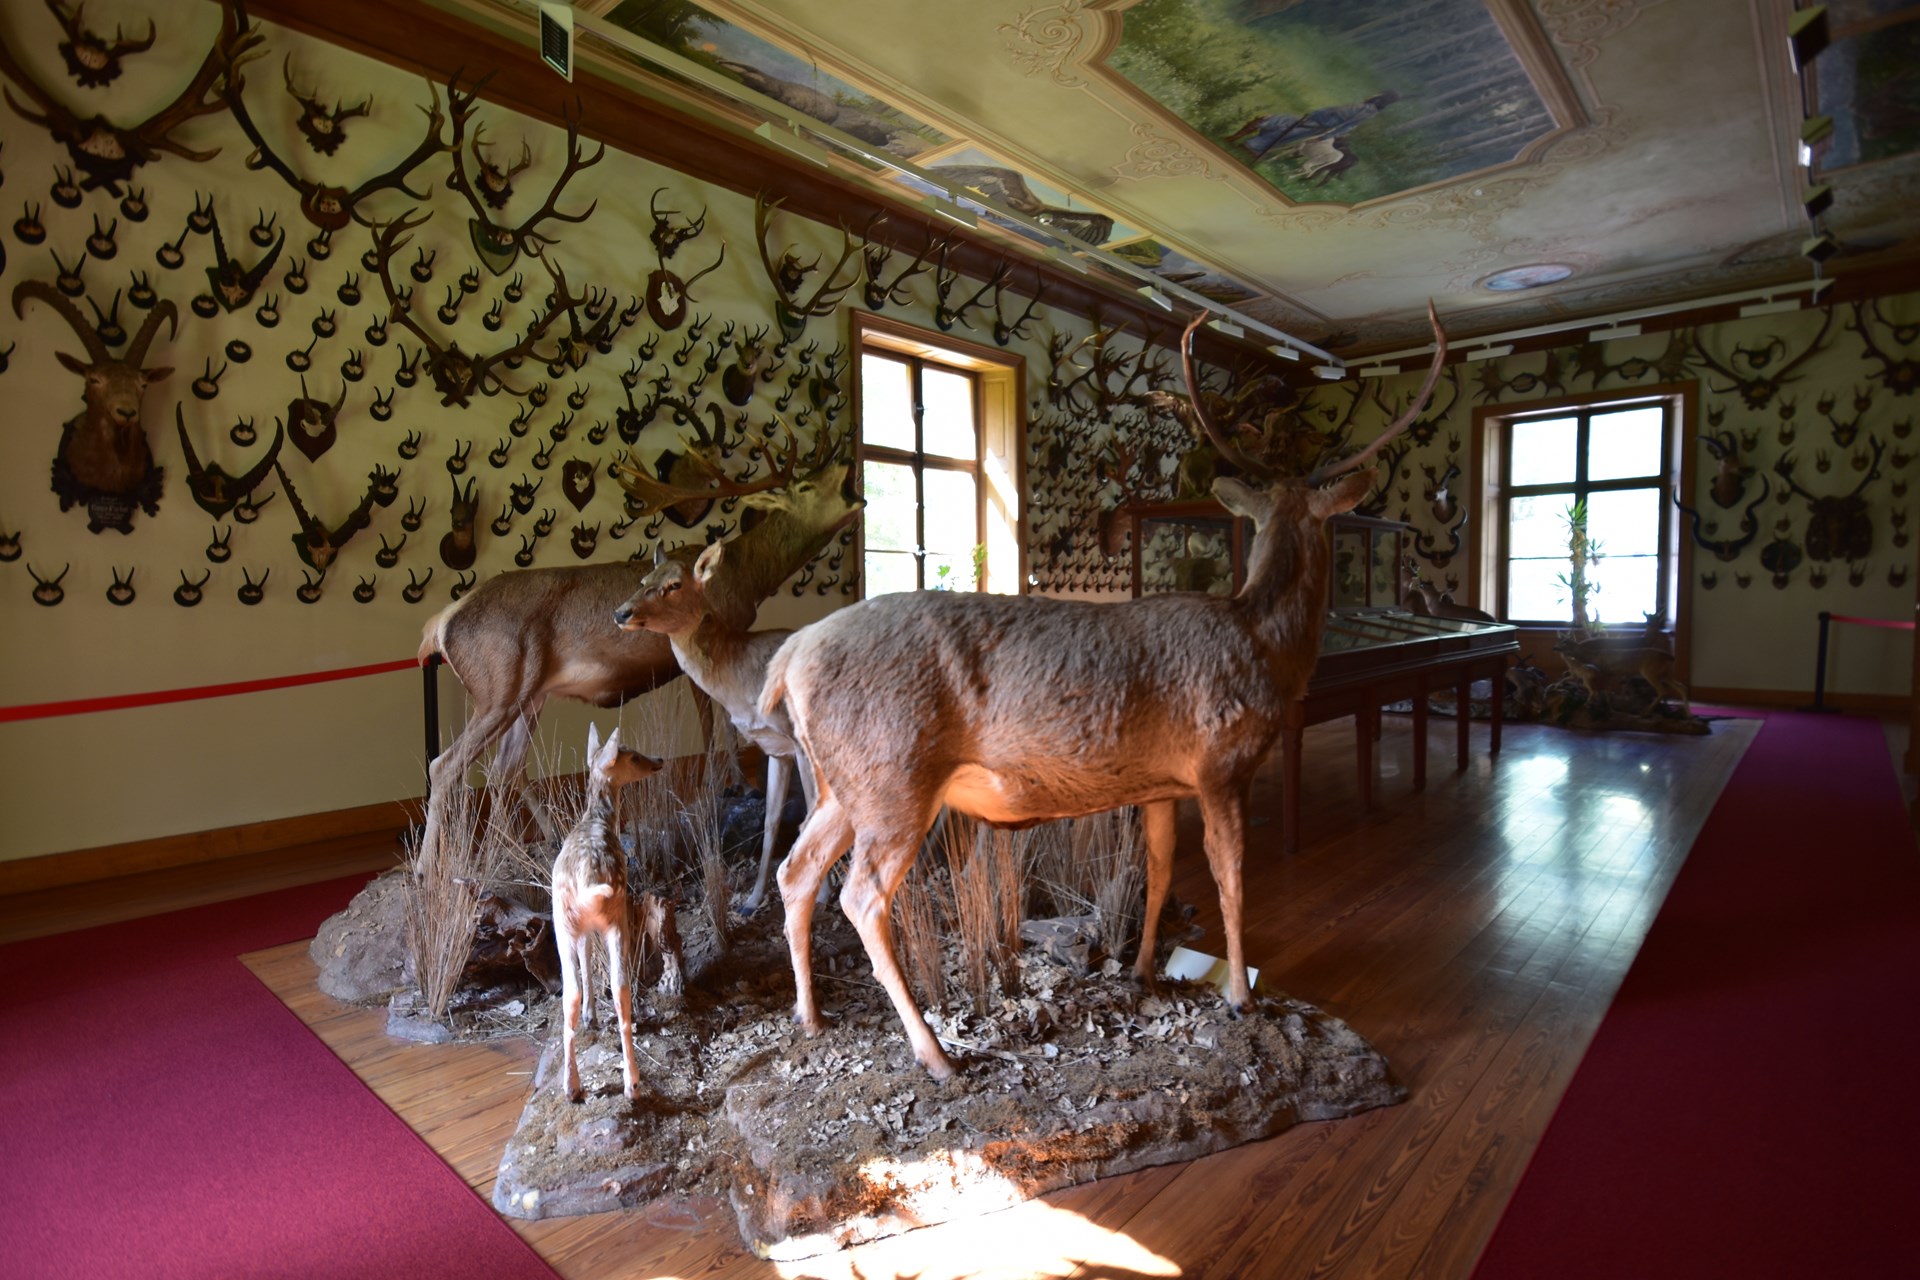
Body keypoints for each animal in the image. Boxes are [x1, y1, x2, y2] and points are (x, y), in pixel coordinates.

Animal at [551, 723, 661, 1103]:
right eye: (632, 756)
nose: (658, 760)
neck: (597, 819)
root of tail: (589, 880)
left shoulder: (581, 928)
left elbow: (585, 966)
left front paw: (590, 1017)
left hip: (562, 922)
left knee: (569, 993)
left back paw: (572, 1086)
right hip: (615, 915)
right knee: (621, 986)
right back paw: (633, 1082)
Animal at [758, 304, 1449, 1079]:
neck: (1267, 646)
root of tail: (789, 656)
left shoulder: (1160, 783)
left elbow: (1159, 871)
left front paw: (1144, 971)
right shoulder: (1222, 763)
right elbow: (1232, 877)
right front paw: (1241, 995)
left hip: (842, 780)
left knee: (796, 870)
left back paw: (811, 1016)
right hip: (894, 772)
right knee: (862, 894)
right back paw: (933, 1053)